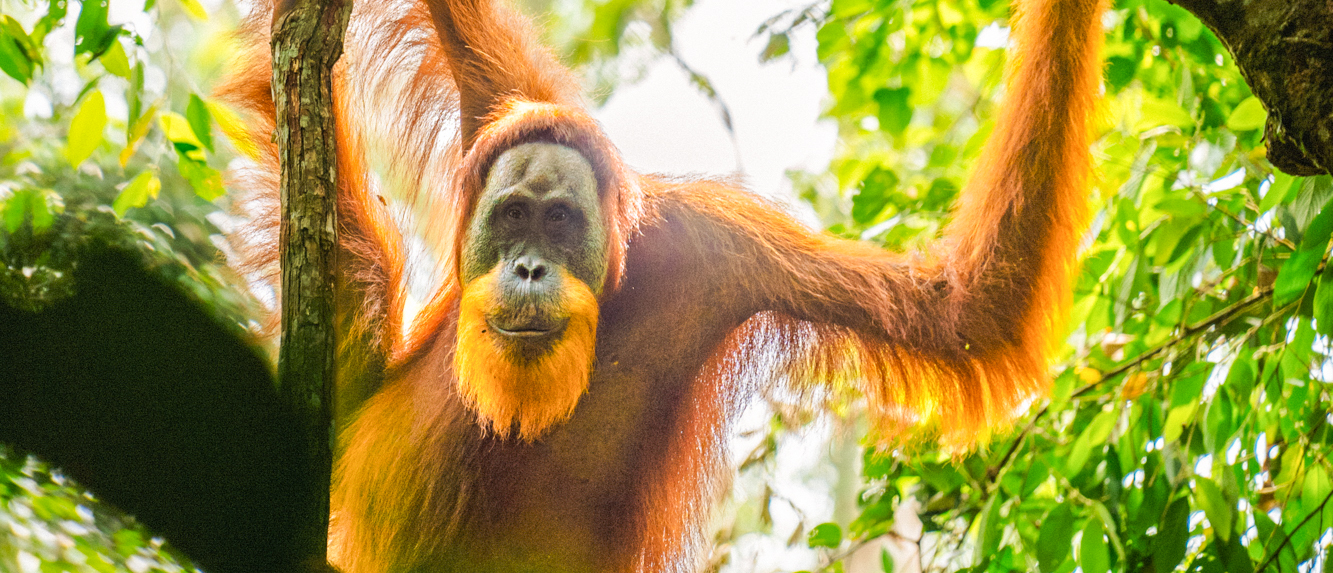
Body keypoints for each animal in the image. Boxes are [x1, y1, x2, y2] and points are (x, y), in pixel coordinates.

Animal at [217, 0, 1106, 569]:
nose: (529, 267)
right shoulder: (509, 105)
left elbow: (962, 311)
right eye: (512, 217)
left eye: (560, 224)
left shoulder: (714, 247)